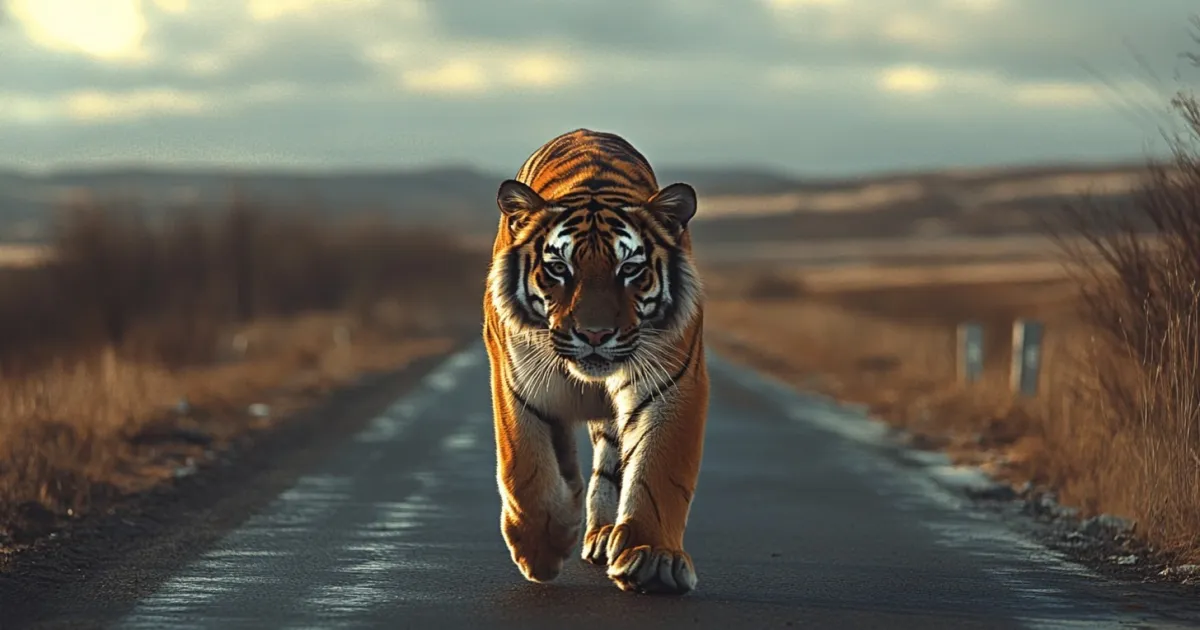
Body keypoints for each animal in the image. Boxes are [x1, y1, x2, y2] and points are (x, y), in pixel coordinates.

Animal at [482, 128, 709, 595]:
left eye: (630, 269)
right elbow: (526, 465)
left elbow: (659, 468)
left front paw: (652, 557)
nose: (595, 335)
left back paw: (605, 534)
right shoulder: (517, 379)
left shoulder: (672, 381)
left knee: (610, 463)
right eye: (558, 268)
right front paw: (541, 547)